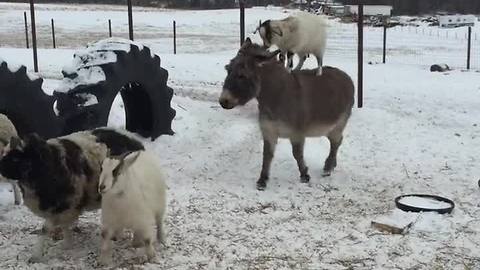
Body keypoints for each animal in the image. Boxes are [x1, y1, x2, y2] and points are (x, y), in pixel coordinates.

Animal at [0, 127, 144, 262]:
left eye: (16, 159)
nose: (1, 170)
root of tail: (136, 140)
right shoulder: (64, 209)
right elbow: (64, 226)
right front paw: (67, 244)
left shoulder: (66, 204)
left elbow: (45, 229)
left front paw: (36, 255)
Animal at [219, 37, 354, 190]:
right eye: (227, 69)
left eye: (242, 75)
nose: (223, 101)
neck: (275, 97)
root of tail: (345, 76)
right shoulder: (269, 131)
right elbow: (267, 155)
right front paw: (262, 180)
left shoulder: (297, 133)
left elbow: (297, 154)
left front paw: (304, 175)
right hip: (330, 127)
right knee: (337, 141)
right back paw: (331, 165)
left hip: (339, 123)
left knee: (336, 142)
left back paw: (328, 168)